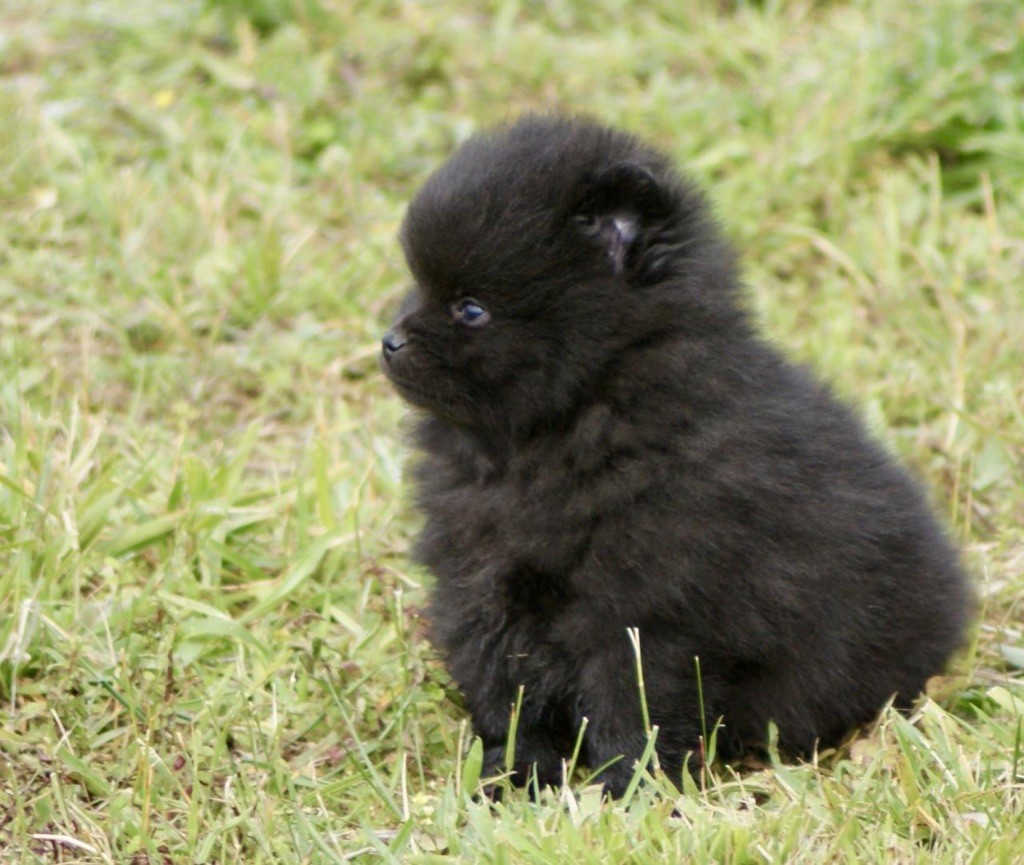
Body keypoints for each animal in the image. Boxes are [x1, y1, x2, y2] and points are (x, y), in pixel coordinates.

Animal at [380, 114, 970, 798]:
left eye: (470, 308)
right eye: (419, 286)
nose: (389, 341)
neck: (574, 423)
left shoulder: (642, 610)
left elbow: (630, 704)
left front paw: (626, 791)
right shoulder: (484, 587)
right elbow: (510, 689)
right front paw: (516, 772)